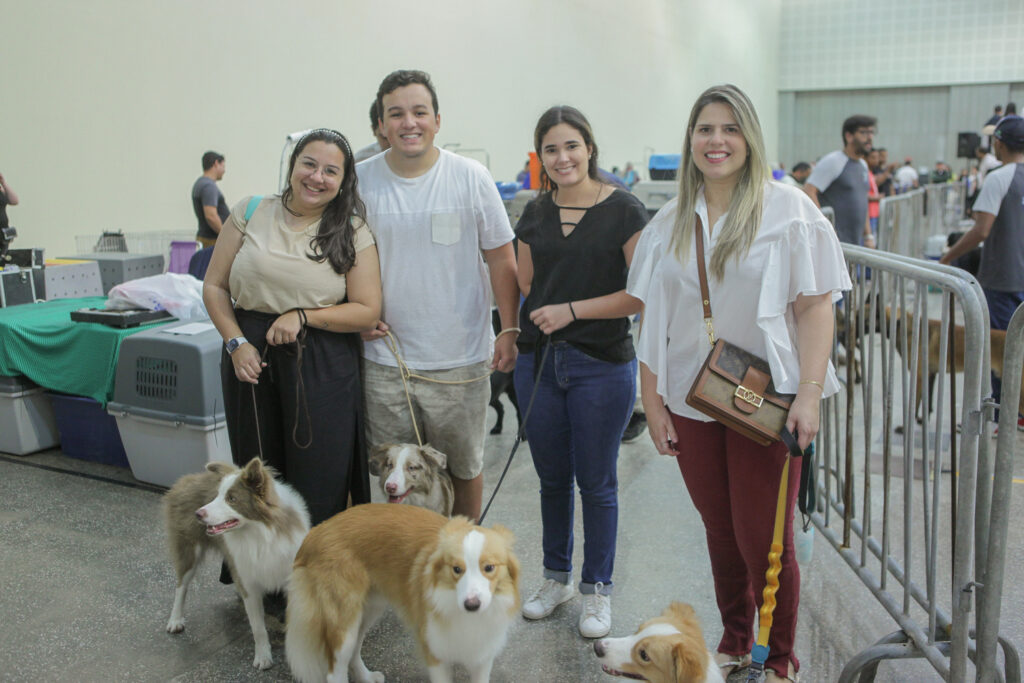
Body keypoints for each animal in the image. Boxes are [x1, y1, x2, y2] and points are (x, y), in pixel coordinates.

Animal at [160, 456, 307, 671]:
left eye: (231, 499)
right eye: (216, 496)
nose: (198, 514)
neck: (260, 536)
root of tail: (187, 478)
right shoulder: (248, 584)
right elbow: (258, 627)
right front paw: (263, 657)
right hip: (188, 550)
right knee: (181, 586)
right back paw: (175, 619)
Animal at [284, 501, 520, 683]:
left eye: (489, 567)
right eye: (456, 569)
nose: (472, 605)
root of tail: (314, 532)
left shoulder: (483, 655)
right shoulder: (435, 652)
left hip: (368, 610)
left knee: (353, 652)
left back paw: (367, 677)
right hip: (344, 621)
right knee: (335, 672)